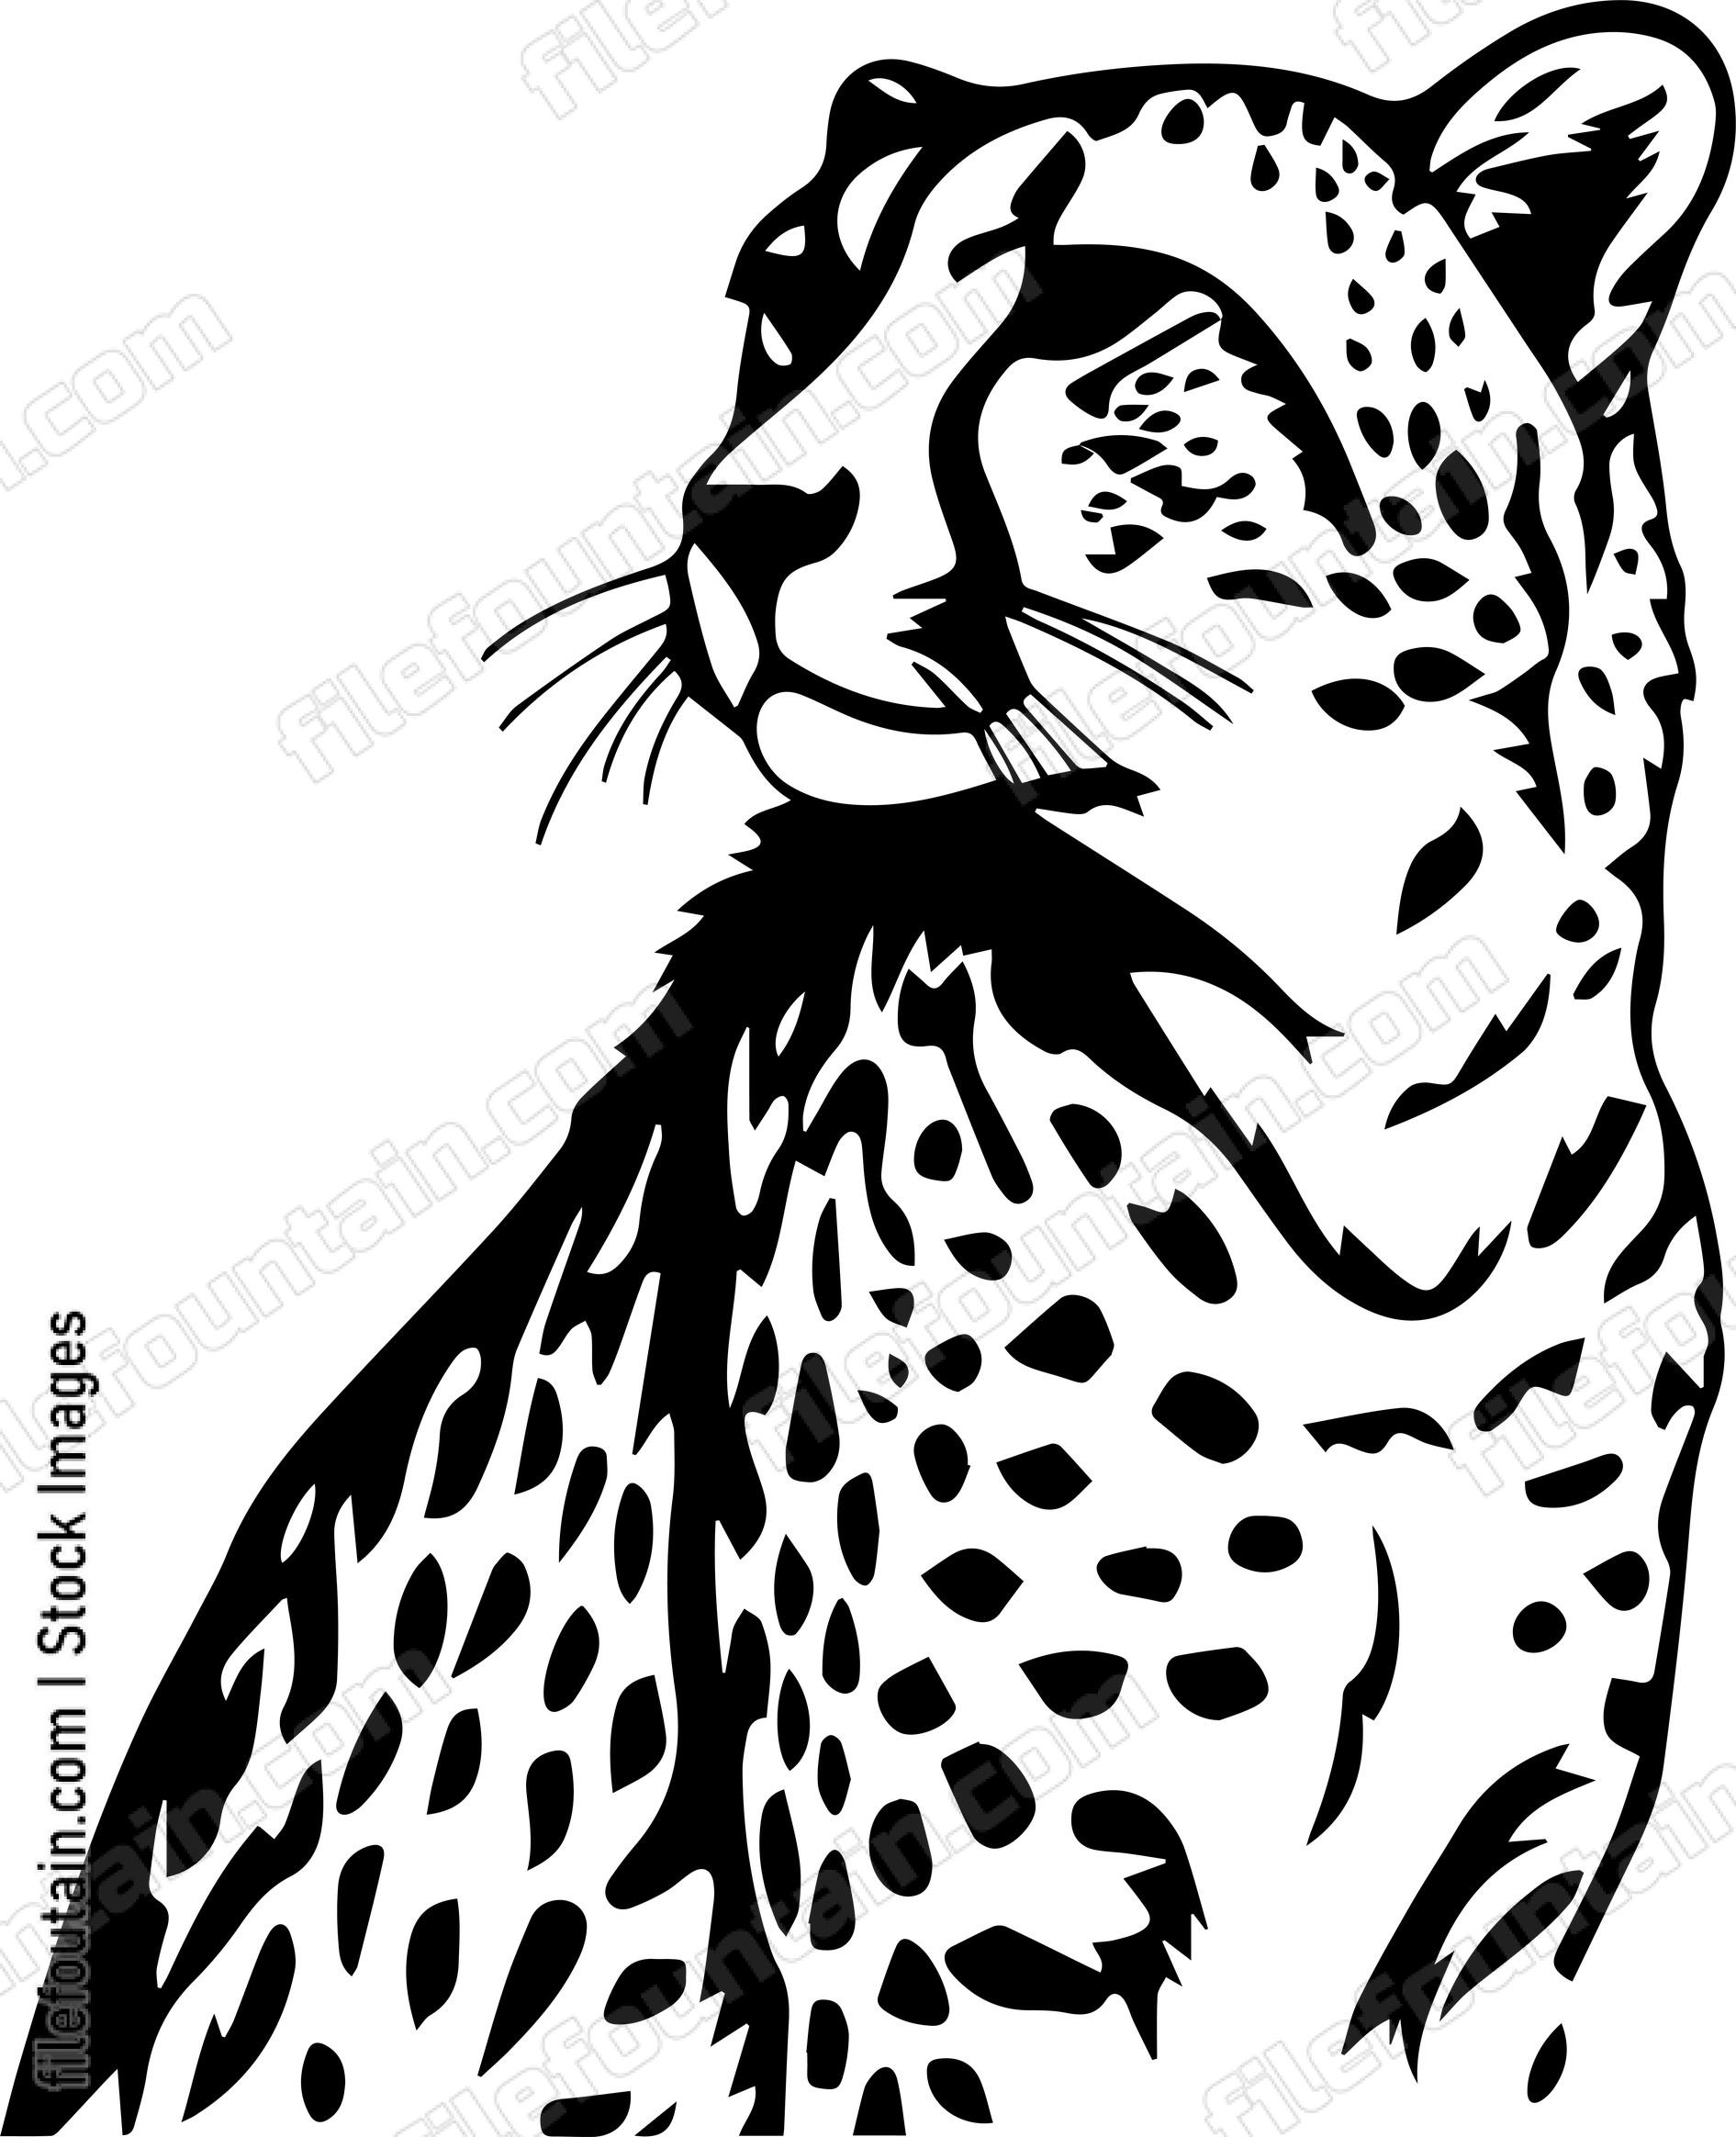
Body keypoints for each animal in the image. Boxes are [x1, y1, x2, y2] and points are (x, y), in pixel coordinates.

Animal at [9, 6, 1732, 2132]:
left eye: (1089, 302)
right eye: (788, 306)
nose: (738, 518)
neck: (1379, 1133)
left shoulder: (1490, 1932)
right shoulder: (962, 1948)